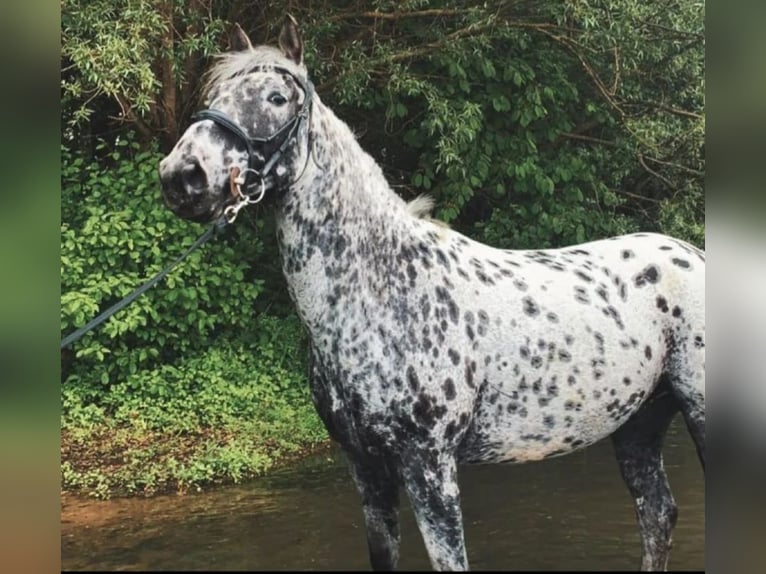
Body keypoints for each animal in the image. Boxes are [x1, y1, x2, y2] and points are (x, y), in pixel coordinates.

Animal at [160, 16, 708, 572]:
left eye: (275, 97)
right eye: (215, 94)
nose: (182, 176)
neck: (378, 294)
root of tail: (693, 254)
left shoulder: (429, 465)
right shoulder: (367, 469)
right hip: (639, 424)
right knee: (656, 514)